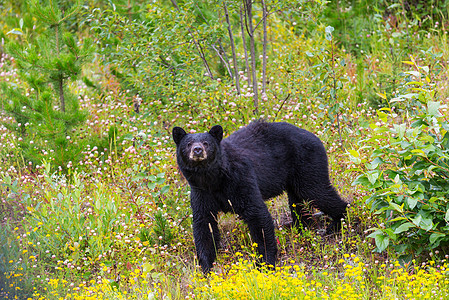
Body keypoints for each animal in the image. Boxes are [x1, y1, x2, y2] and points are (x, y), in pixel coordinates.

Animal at [172, 120, 346, 274]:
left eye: (206, 142)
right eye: (188, 144)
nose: (197, 150)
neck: (212, 178)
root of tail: (313, 135)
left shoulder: (240, 178)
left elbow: (256, 214)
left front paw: (265, 263)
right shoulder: (201, 192)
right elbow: (204, 223)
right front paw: (207, 266)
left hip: (307, 162)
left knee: (317, 191)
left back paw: (338, 222)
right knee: (297, 201)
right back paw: (301, 226)